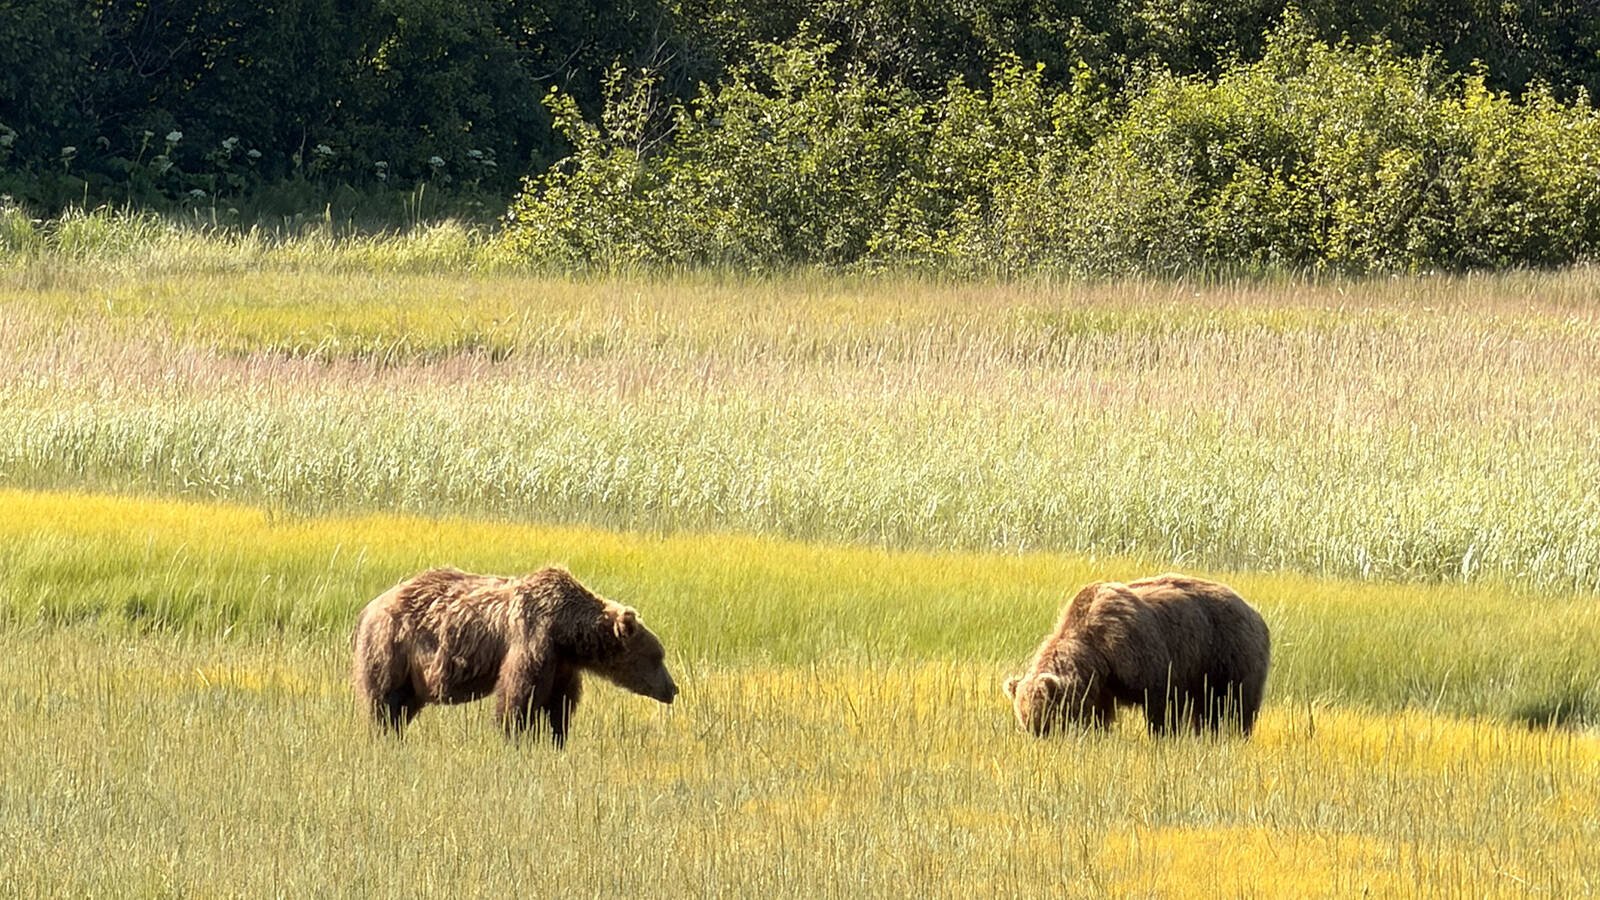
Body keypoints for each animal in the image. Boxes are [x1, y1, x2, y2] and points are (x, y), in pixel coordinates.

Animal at [351, 565, 678, 746]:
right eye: (658, 656)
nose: (673, 689)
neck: (566, 632)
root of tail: (367, 608)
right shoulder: (532, 641)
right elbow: (518, 698)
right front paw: (516, 739)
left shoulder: (561, 664)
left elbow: (560, 705)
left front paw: (557, 740)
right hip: (391, 648)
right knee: (385, 702)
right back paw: (384, 736)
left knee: (401, 707)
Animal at [1003, 573, 1269, 737]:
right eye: (1023, 719)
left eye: (1044, 718)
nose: (1037, 734)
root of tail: (1255, 612)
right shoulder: (1101, 686)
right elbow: (1100, 713)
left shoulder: (1141, 655)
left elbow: (1161, 704)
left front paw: (1163, 735)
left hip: (1229, 654)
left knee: (1236, 704)